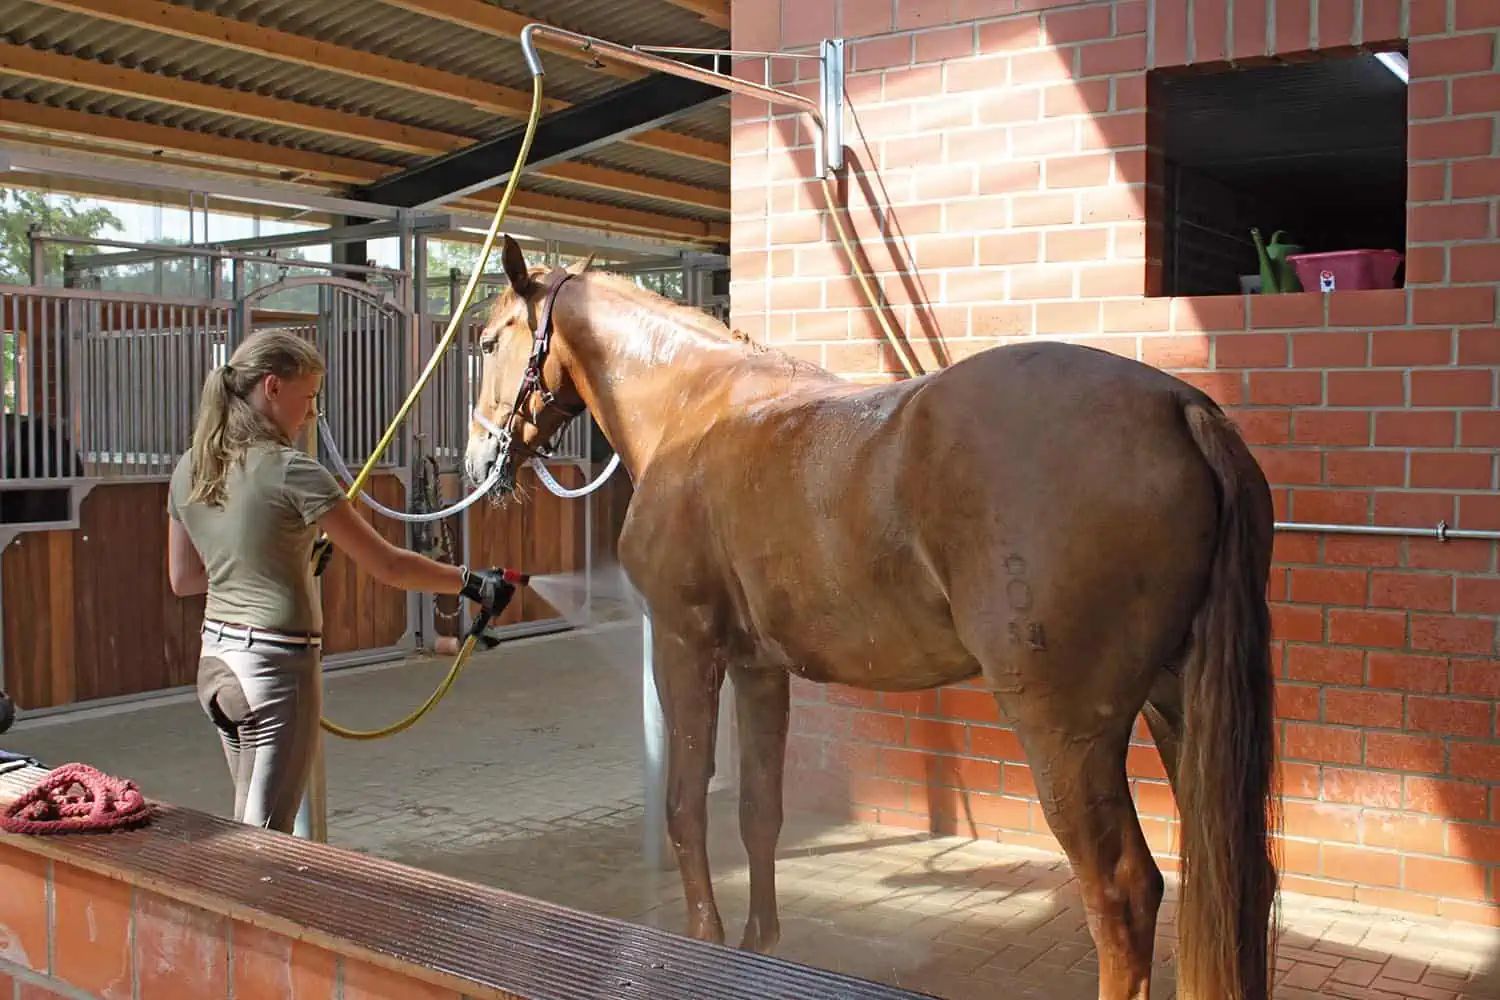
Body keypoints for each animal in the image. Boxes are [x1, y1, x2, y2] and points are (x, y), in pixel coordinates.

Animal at [465, 236, 1279, 1000]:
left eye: (487, 341)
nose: (478, 462)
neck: (693, 408)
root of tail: (1179, 407)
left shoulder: (685, 644)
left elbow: (685, 805)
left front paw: (704, 944)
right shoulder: (760, 668)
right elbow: (759, 810)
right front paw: (759, 946)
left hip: (1066, 734)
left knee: (1123, 894)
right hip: (1176, 708)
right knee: (1236, 881)